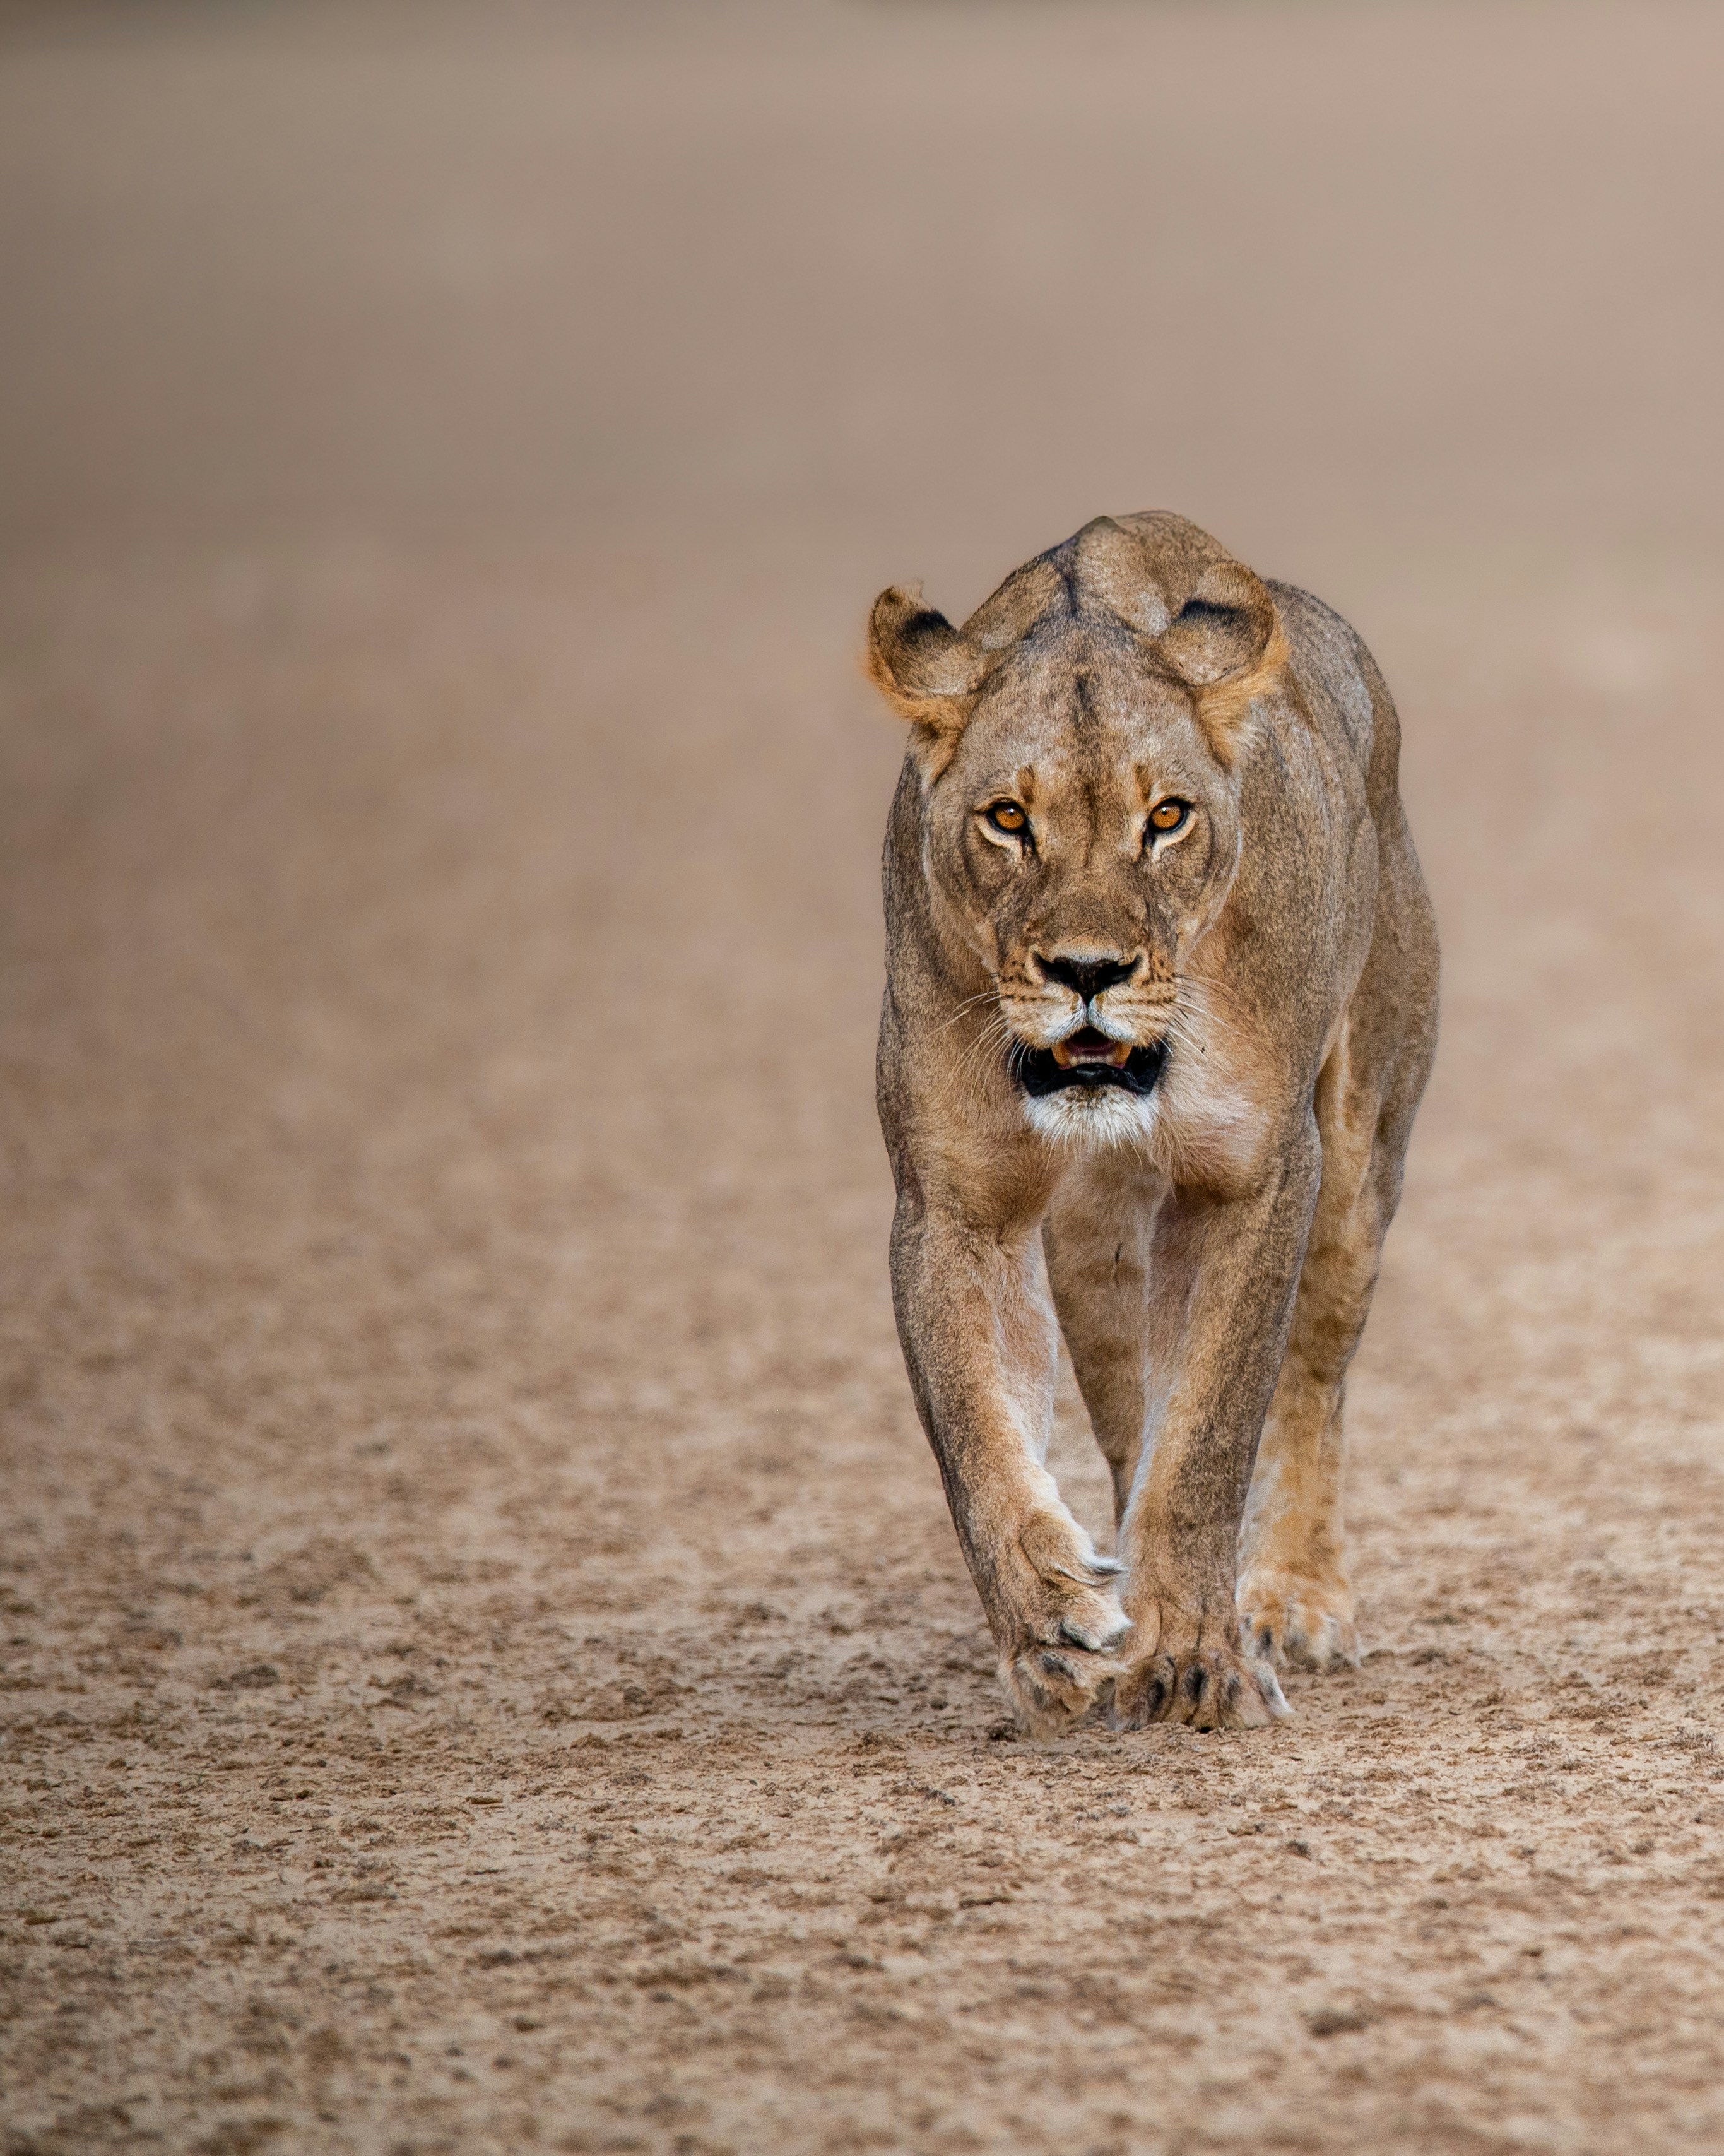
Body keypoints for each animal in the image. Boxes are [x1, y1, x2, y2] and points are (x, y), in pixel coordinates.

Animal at [867, 512, 1439, 1736]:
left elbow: (1212, 1439)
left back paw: (1291, 1600)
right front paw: (1051, 1627)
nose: (1088, 972)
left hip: (1359, 1162)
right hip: (1096, 1236)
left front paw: (1195, 1660)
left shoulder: (1255, 1175)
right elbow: (977, 1433)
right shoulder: (953, 1202)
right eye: (1008, 819)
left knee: (1313, 1381)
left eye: (1166, 818)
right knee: (1131, 1418)